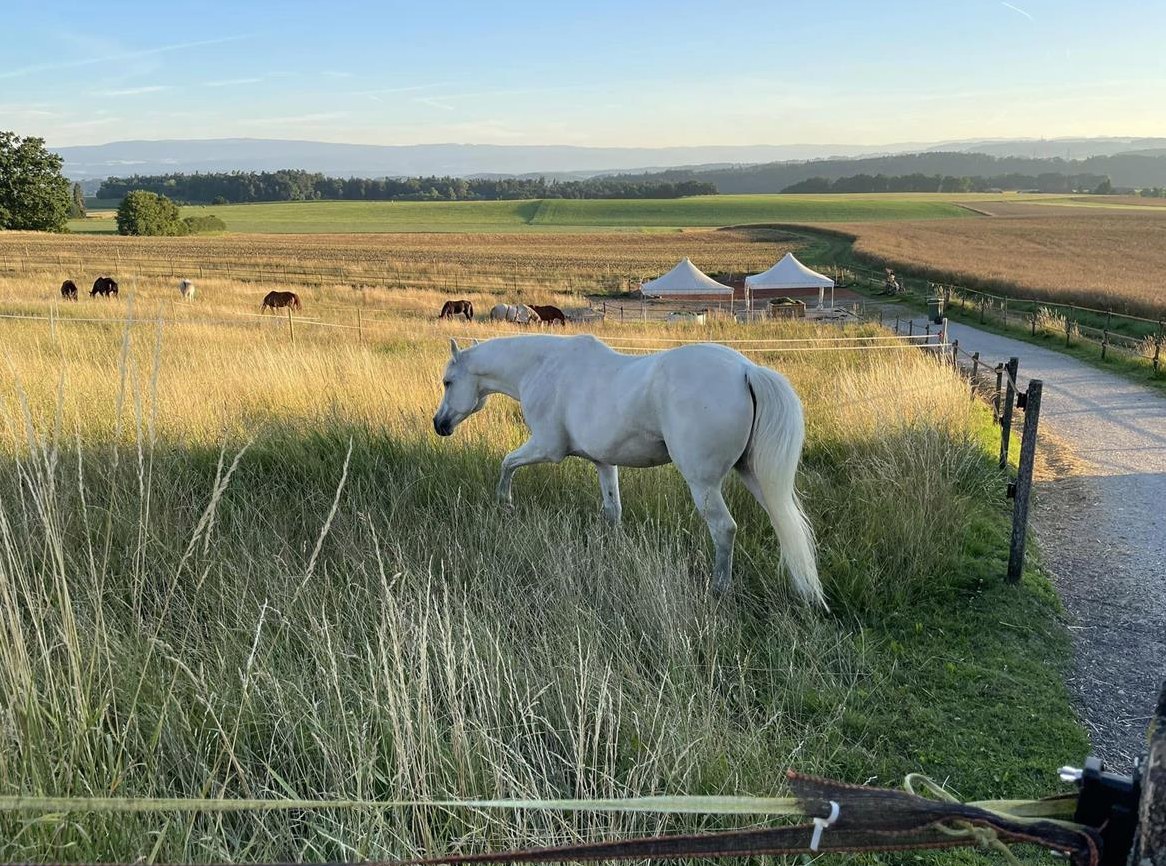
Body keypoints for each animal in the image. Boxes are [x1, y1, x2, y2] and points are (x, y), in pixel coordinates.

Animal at [432, 335, 822, 604]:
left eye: (448, 381)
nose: (439, 424)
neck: (542, 367)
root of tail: (745, 370)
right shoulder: (604, 462)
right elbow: (612, 510)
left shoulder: (546, 447)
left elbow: (507, 463)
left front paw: (505, 503)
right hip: (756, 476)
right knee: (787, 523)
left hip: (704, 484)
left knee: (724, 529)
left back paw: (719, 588)